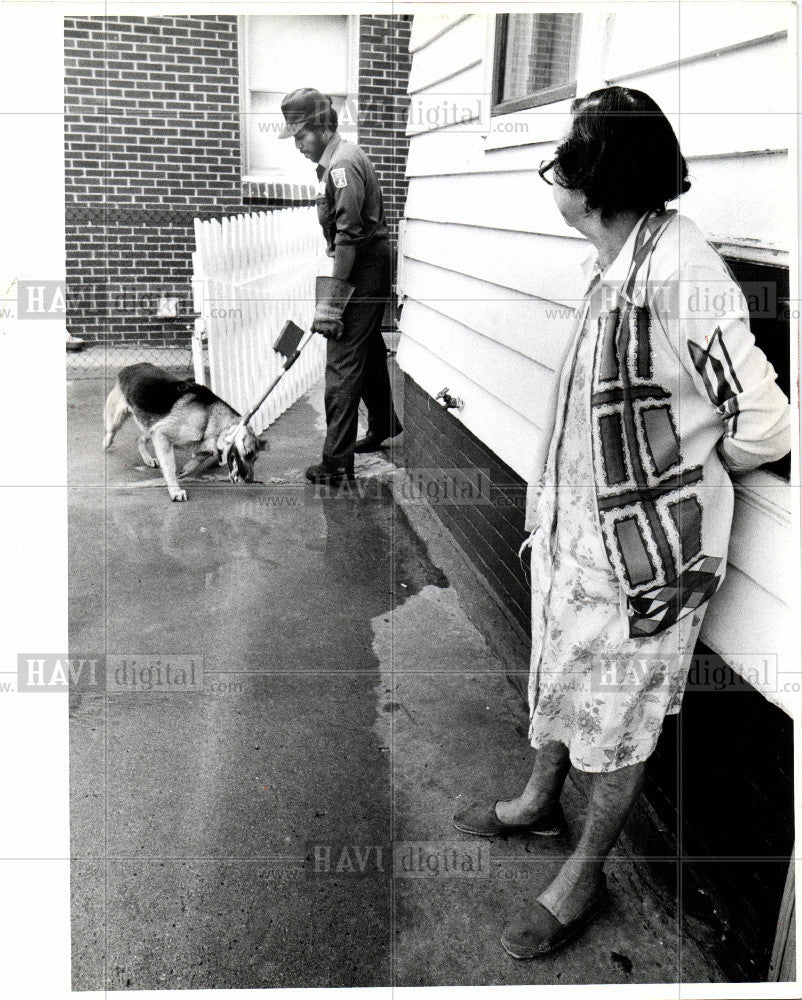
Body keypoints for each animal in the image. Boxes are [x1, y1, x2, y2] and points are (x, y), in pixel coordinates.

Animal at [103, 364, 260, 500]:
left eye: (255, 458)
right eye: (248, 454)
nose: (250, 480)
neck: (209, 416)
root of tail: (129, 368)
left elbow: (198, 459)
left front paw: (187, 468)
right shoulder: (162, 435)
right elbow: (170, 467)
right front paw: (175, 491)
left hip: (151, 425)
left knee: (139, 439)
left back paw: (148, 459)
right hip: (118, 420)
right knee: (111, 433)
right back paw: (106, 443)